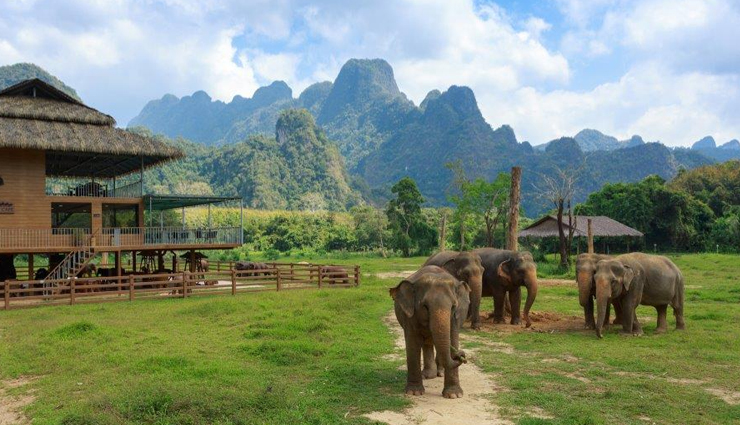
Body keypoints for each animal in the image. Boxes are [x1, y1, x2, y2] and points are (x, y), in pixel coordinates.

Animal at [390, 265, 471, 398]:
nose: (461, 356)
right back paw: (428, 376)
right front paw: (414, 393)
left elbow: (453, 338)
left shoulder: (456, 317)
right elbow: (412, 344)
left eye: (453, 306)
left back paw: (440, 373)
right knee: (427, 343)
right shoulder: (410, 316)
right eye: (425, 306)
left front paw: (454, 395)